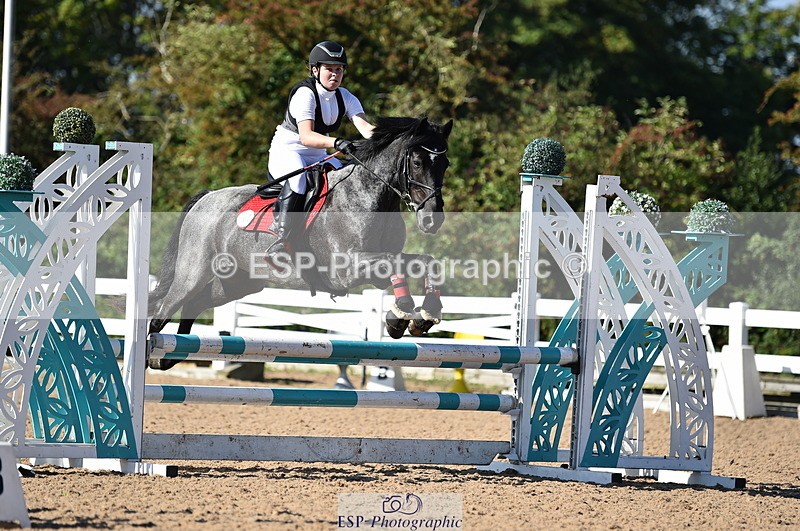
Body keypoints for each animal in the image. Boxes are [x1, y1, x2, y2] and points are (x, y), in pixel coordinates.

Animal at [147, 116, 453, 375]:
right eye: (417, 162)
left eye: (445, 163)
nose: (433, 220)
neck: (368, 196)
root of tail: (207, 196)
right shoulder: (348, 270)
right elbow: (393, 262)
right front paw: (401, 314)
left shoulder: (377, 266)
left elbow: (425, 261)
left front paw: (425, 315)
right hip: (192, 273)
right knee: (163, 310)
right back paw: (153, 352)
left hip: (236, 283)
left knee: (195, 303)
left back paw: (171, 355)